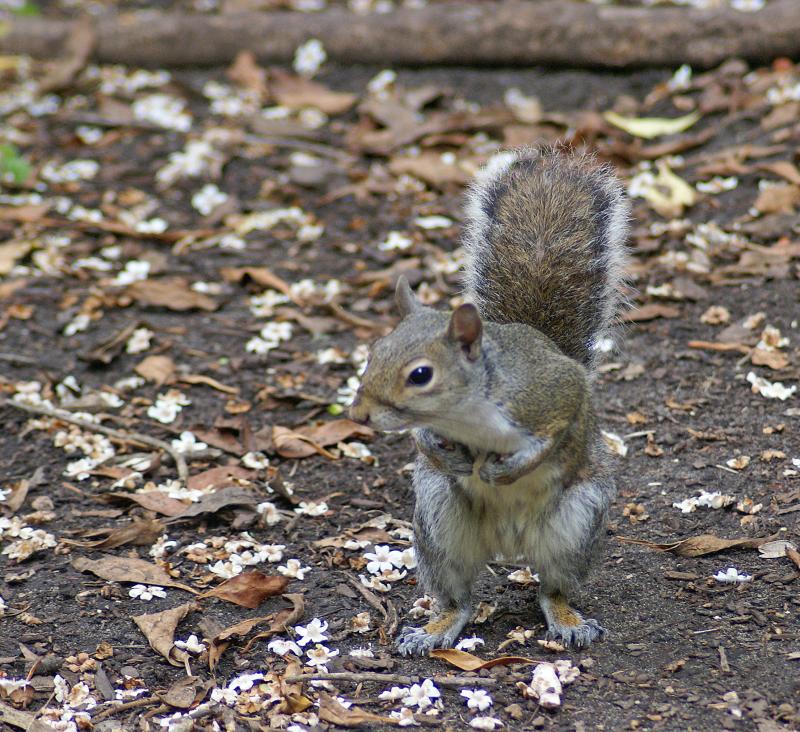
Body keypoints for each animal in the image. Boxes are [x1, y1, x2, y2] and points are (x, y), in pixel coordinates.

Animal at [350, 146, 632, 656]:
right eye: (373, 353)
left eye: (420, 375)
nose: (359, 413)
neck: (466, 415)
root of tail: (509, 542)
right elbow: (426, 441)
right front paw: (443, 452)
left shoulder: (555, 395)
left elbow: (555, 436)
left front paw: (507, 468)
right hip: (440, 524)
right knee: (458, 596)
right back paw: (437, 627)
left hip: (577, 524)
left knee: (553, 589)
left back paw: (568, 619)